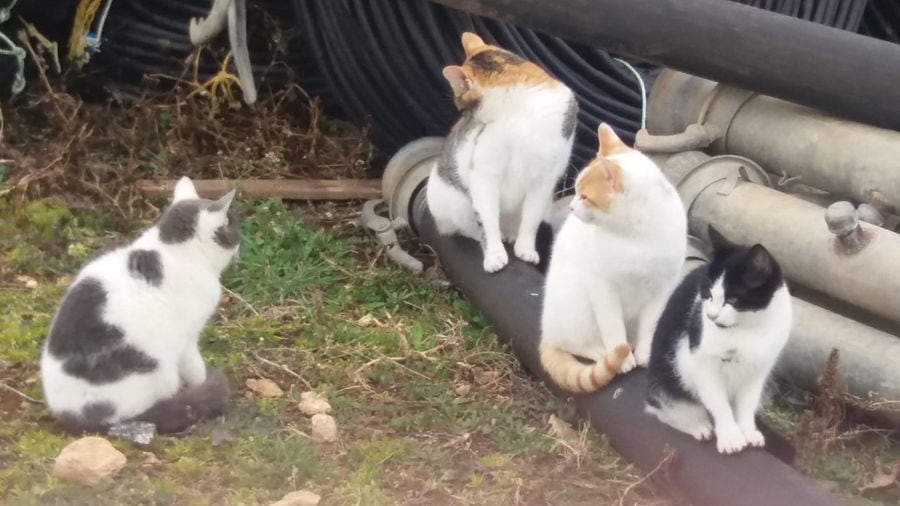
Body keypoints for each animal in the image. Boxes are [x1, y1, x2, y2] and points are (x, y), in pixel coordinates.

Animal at [40, 178, 239, 434]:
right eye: (233, 229)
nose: (239, 248)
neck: (171, 248)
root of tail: (76, 418)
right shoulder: (188, 338)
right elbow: (197, 370)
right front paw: (201, 384)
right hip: (157, 372)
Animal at [428, 31, 576, 272]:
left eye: (462, 107)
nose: (464, 121)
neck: (518, 109)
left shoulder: (544, 179)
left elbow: (531, 219)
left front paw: (526, 249)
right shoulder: (484, 174)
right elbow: (487, 220)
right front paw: (494, 255)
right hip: (452, 202)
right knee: (467, 227)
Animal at [536, 124, 684, 394]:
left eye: (584, 196)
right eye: (575, 191)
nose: (571, 207)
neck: (637, 237)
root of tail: (546, 331)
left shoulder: (661, 289)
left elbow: (650, 324)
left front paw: (645, 352)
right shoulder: (603, 288)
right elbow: (613, 328)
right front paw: (621, 358)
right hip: (578, 302)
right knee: (570, 343)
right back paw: (601, 352)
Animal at [644, 225, 792, 454]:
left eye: (732, 299)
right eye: (708, 294)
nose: (711, 315)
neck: (748, 329)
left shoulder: (758, 370)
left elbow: (747, 404)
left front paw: (747, 431)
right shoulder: (699, 363)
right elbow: (719, 404)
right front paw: (731, 437)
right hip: (665, 378)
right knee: (665, 410)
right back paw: (698, 426)